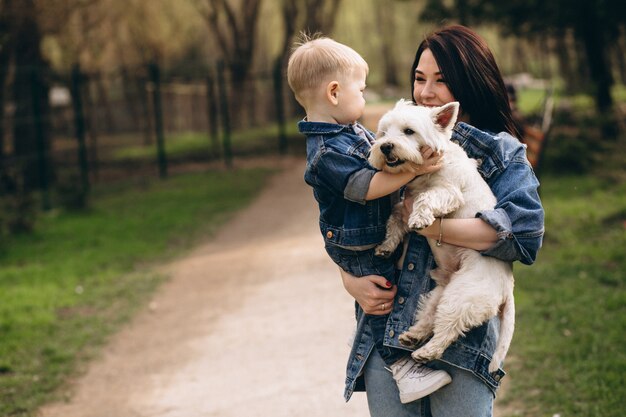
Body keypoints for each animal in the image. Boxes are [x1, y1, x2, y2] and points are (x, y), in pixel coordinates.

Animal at [370, 99, 512, 372]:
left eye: (408, 131)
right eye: (384, 132)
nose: (385, 146)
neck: (422, 173)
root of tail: (506, 288)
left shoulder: (448, 191)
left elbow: (427, 198)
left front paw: (419, 219)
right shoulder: (404, 204)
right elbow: (395, 220)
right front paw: (386, 246)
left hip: (462, 296)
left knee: (448, 329)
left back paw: (426, 352)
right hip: (440, 293)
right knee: (430, 317)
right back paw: (413, 335)